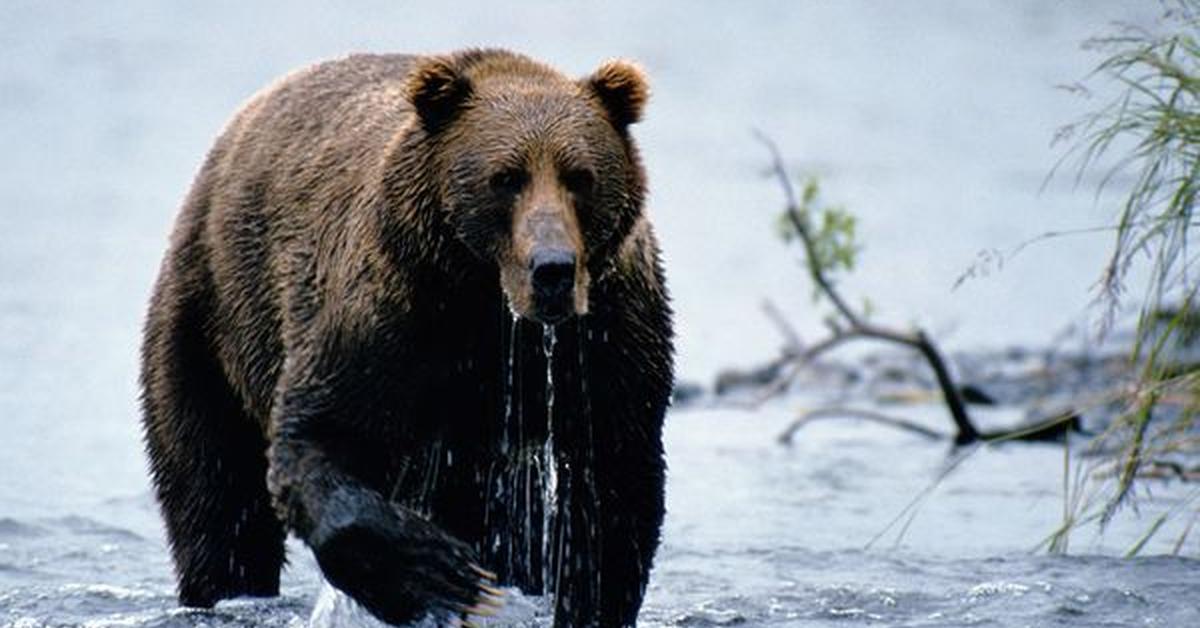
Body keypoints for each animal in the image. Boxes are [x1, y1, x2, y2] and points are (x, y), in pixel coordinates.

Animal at [140, 50, 676, 628]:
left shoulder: (605, 336)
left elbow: (612, 486)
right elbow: (319, 434)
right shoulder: (393, 314)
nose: (551, 269)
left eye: (580, 176)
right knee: (215, 492)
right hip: (209, 315)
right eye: (505, 177)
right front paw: (446, 577)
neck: (491, 310)